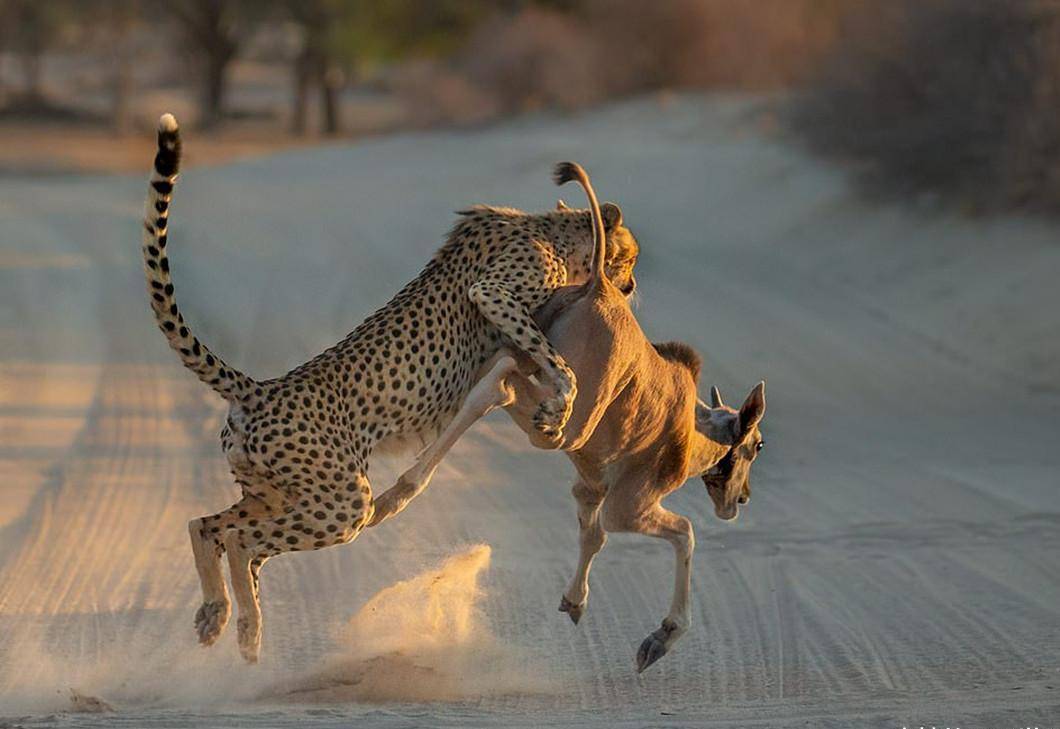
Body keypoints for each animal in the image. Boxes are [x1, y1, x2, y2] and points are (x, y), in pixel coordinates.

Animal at [140, 112, 635, 661]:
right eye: (630, 256)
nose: (631, 286)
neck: (548, 228)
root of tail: (259, 389)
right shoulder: (492, 293)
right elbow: (556, 362)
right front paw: (558, 408)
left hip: (276, 493)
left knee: (207, 526)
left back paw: (218, 615)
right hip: (340, 503)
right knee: (243, 543)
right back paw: (247, 629)